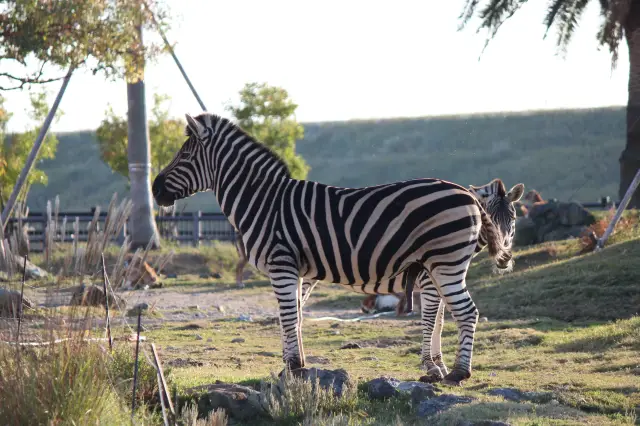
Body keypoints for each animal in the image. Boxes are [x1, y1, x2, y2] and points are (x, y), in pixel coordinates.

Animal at [154, 113, 520, 386]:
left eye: (184, 155)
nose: (155, 189)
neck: (265, 202)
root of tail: (468, 194)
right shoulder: (297, 270)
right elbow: (296, 316)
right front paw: (293, 366)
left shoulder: (281, 263)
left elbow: (288, 316)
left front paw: (294, 368)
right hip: (442, 265)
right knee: (453, 312)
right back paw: (447, 370)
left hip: (444, 263)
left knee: (467, 312)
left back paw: (458, 373)